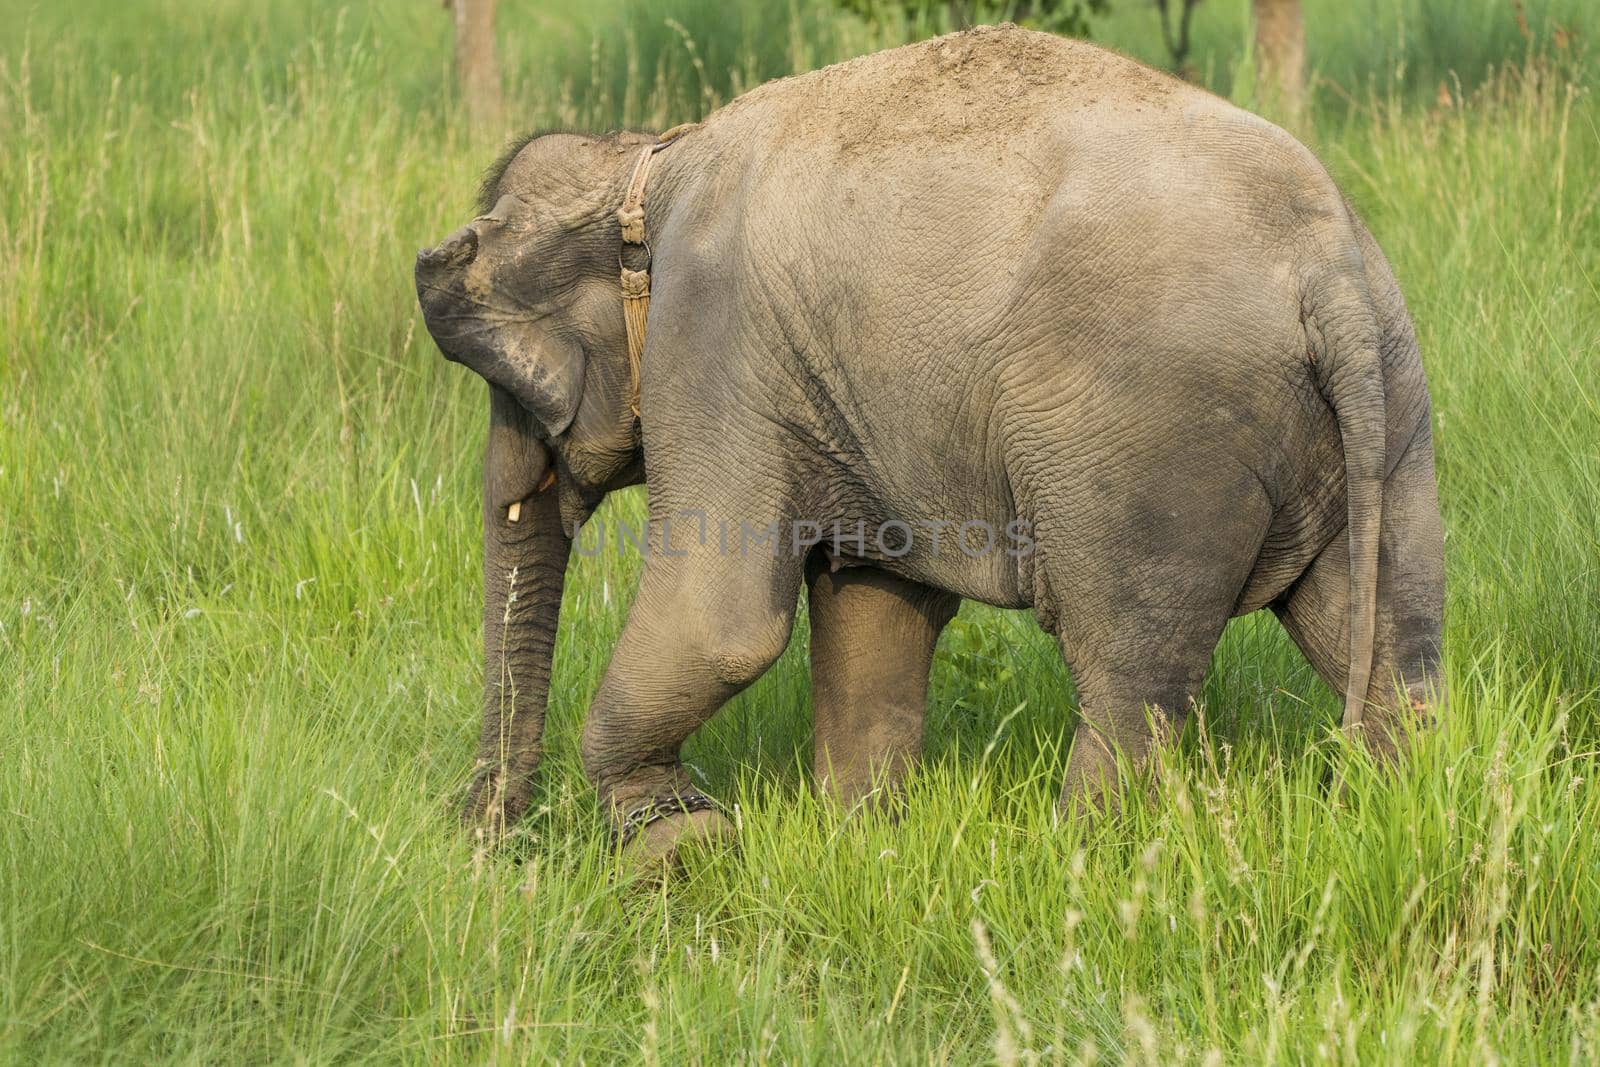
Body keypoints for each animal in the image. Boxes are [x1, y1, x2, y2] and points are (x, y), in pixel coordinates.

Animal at [416, 24, 1452, 863]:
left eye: (511, 386)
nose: (489, 845)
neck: (646, 160)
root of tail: (1325, 267)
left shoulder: (713, 344)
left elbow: (722, 622)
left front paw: (676, 845)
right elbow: (873, 608)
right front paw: (858, 842)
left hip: (1147, 445)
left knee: (1130, 677)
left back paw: (1079, 865)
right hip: (1393, 404)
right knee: (1388, 645)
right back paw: (1397, 802)